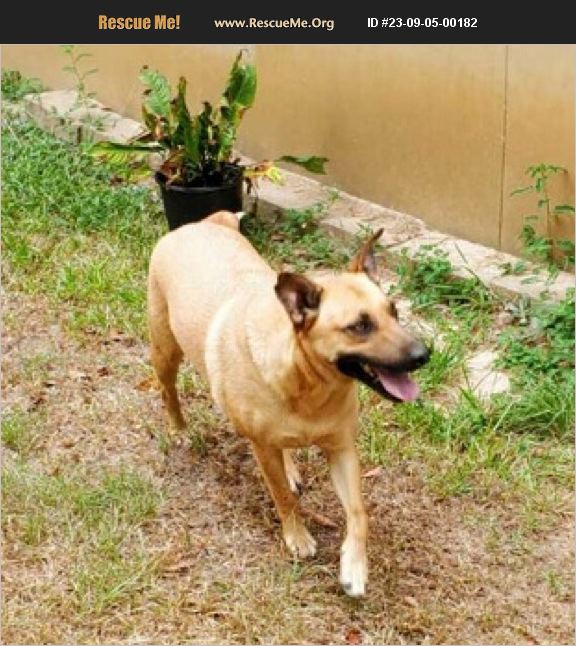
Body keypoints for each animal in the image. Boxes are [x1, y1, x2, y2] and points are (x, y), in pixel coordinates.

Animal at [148, 211, 429, 596]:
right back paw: (179, 430)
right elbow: (282, 495)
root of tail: (201, 224)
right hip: (165, 350)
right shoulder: (262, 447)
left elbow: (359, 513)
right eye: (359, 326)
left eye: (394, 312)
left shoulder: (342, 448)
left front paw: (354, 566)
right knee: (167, 390)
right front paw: (297, 537)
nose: (424, 355)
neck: (308, 384)